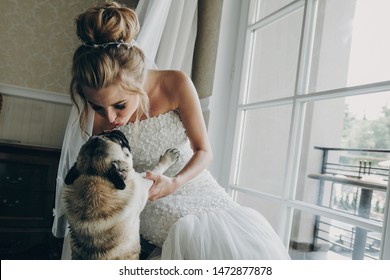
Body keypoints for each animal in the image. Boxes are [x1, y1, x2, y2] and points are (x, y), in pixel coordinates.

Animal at [62, 130, 180, 260]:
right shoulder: (142, 183)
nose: (114, 130)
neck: (95, 177)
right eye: (119, 141)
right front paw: (169, 158)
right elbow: (155, 170)